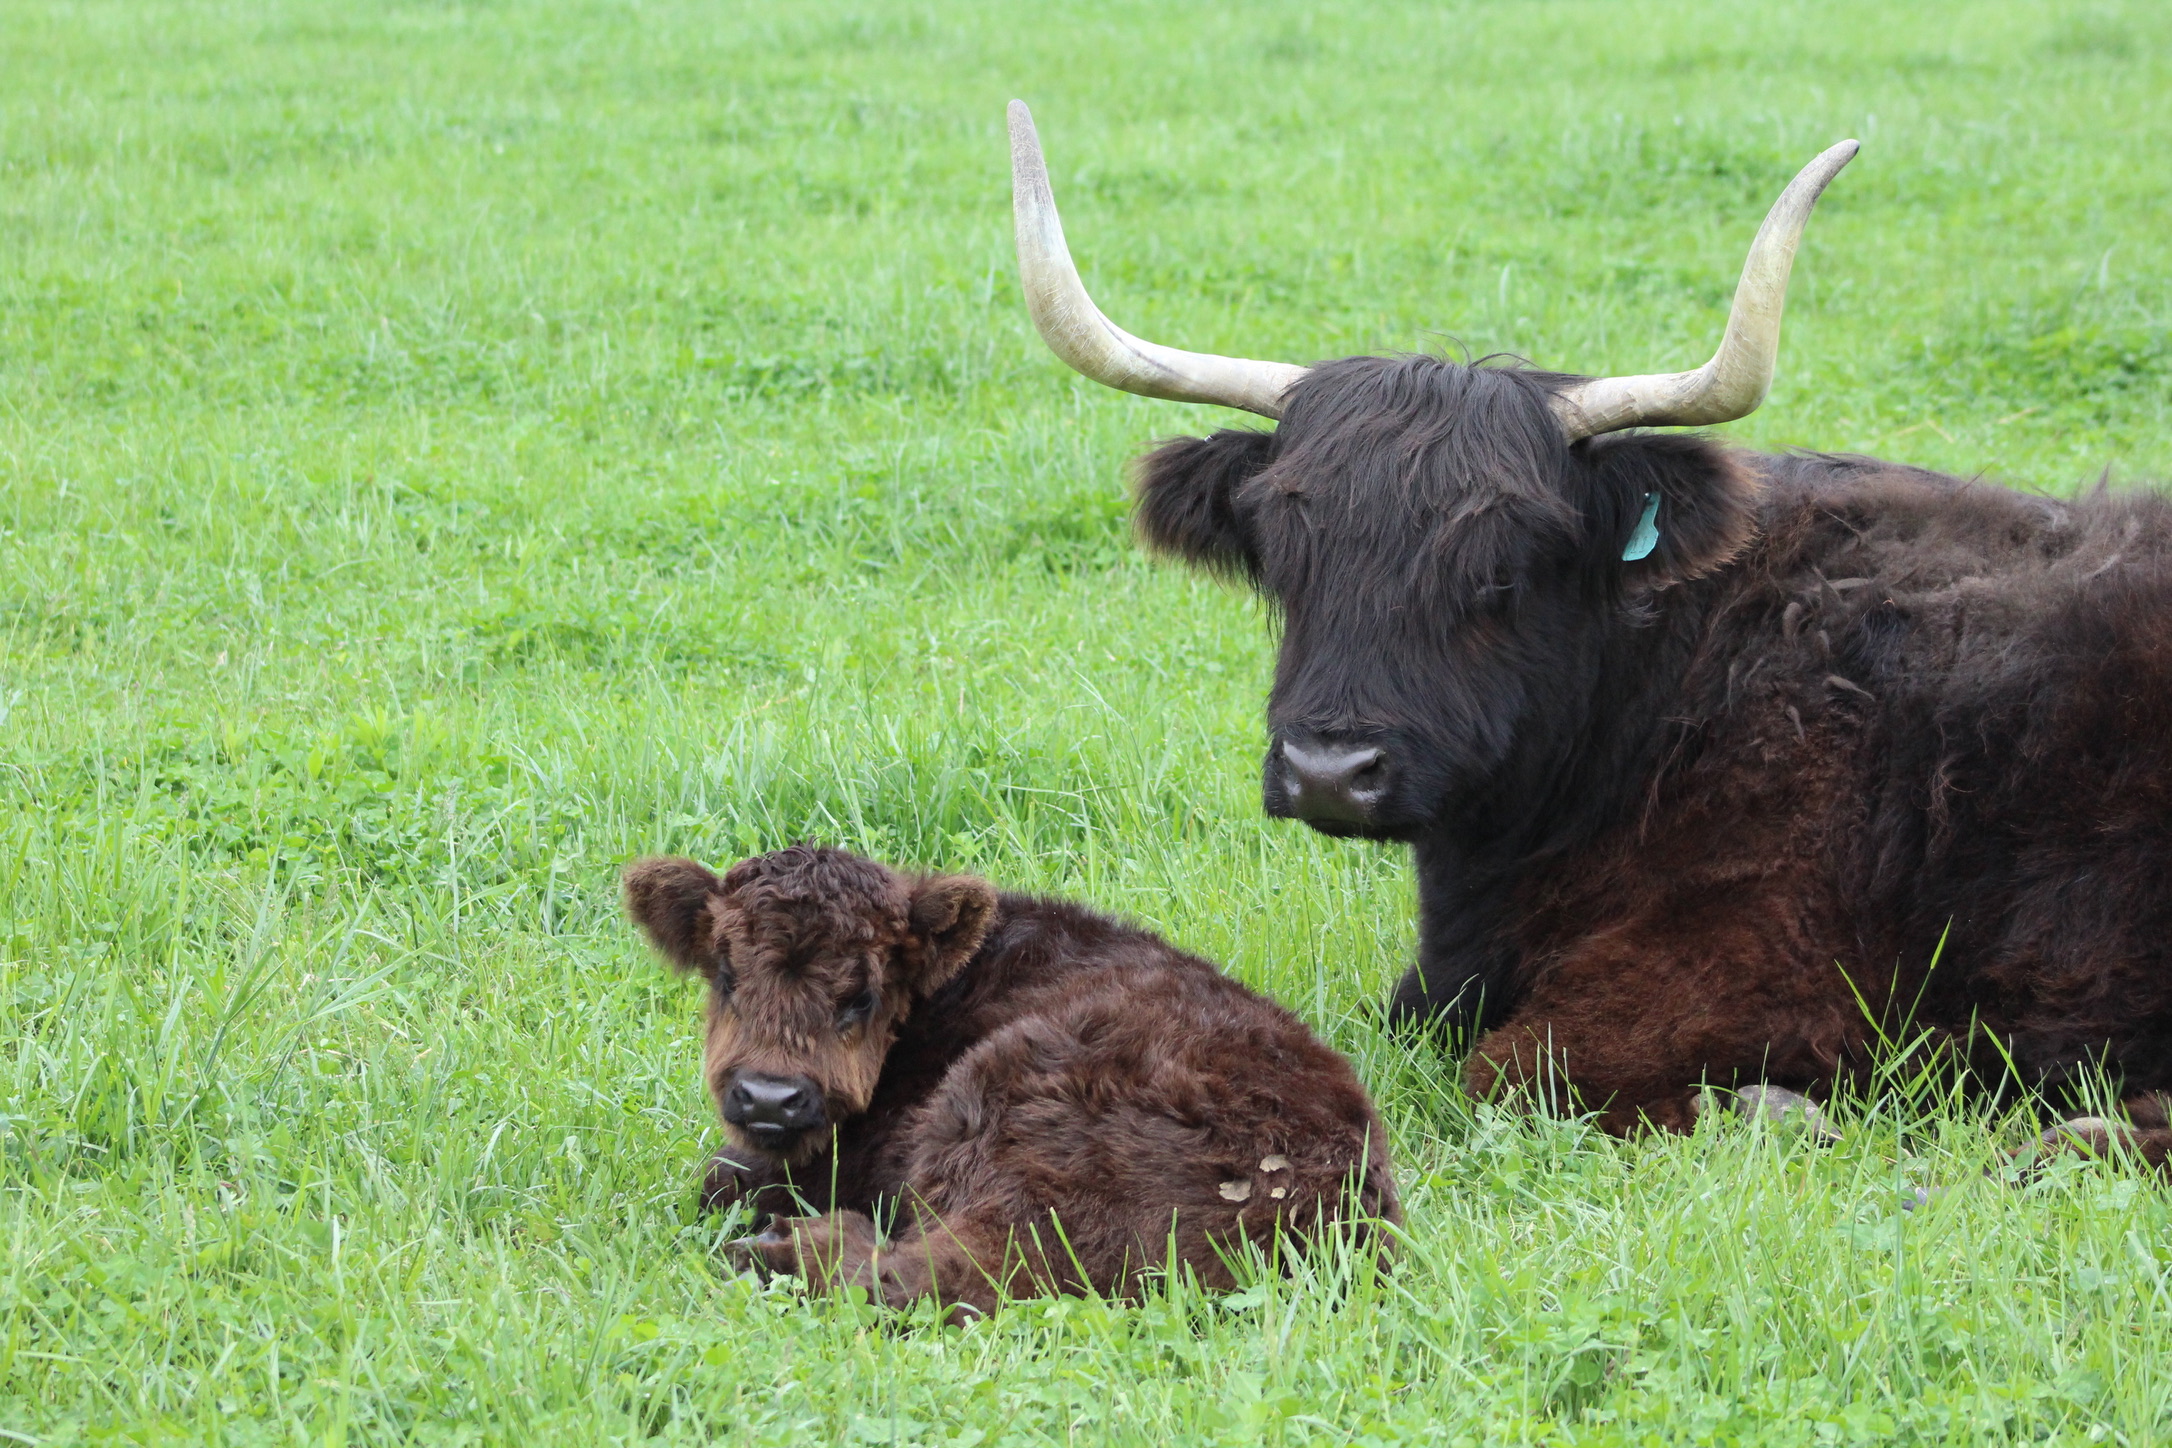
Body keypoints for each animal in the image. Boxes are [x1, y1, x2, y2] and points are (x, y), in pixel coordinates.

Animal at [623, 845, 1400, 1319]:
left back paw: (782, 1246)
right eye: (726, 974)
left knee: (938, 1273)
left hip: (1002, 1121)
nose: (770, 1097)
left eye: (862, 996)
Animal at [1005, 101, 2172, 1168]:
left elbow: (1513, 1069)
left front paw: (1782, 1110)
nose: (1331, 770)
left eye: (1504, 565)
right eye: (1286, 551)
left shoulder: (1749, 959)